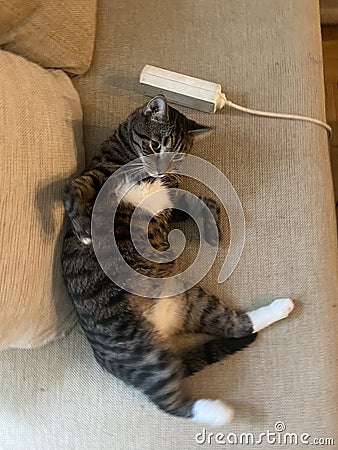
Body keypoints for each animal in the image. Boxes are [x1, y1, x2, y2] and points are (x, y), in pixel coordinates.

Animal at [62, 95, 294, 426]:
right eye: (155, 145)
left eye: (177, 157)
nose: (161, 170)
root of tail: (163, 330)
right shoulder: (97, 177)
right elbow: (73, 188)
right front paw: (83, 229)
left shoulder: (169, 196)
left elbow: (201, 201)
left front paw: (212, 228)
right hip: (143, 351)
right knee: (169, 403)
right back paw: (220, 412)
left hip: (191, 300)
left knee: (237, 327)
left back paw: (281, 307)